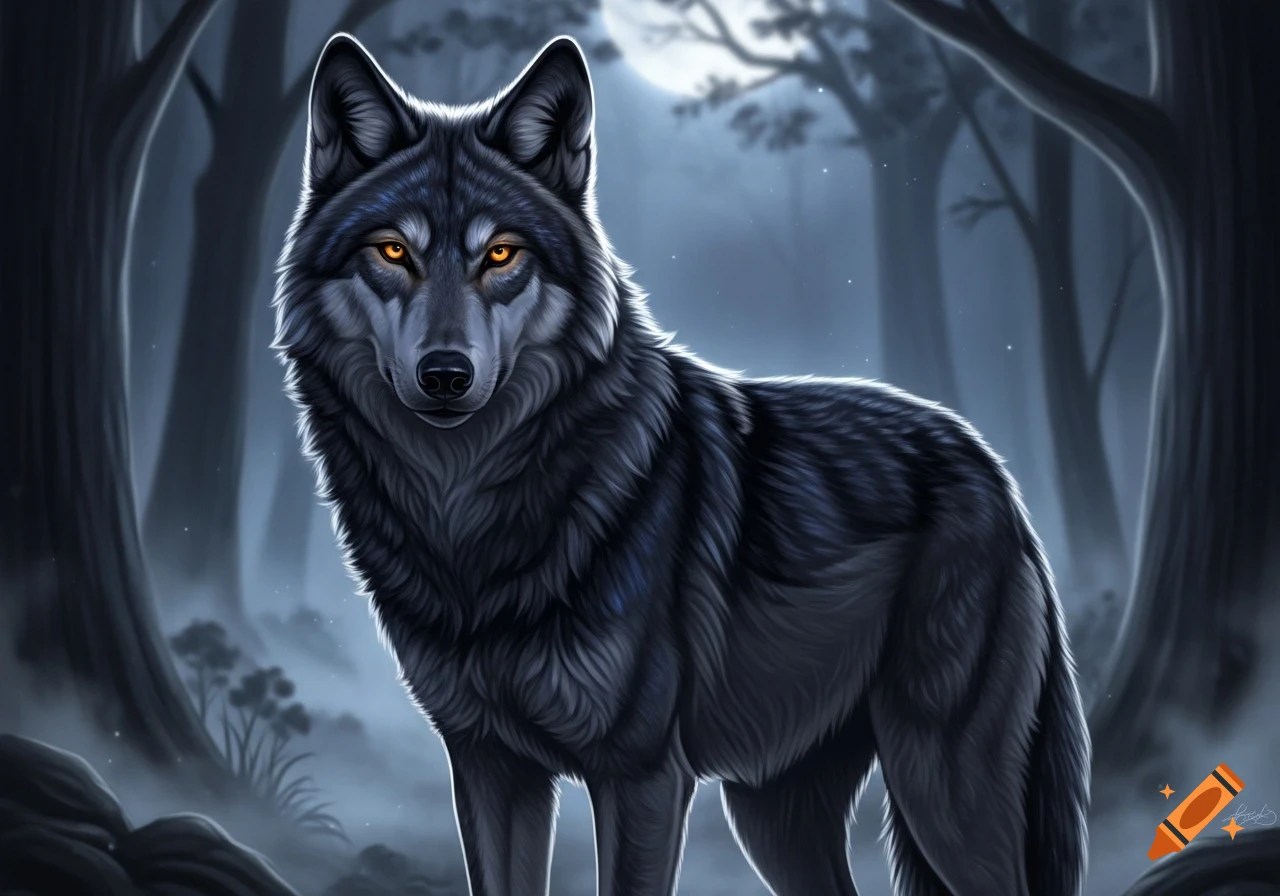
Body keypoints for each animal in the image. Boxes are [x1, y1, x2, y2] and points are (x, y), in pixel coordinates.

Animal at [275, 32, 1090, 896]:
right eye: (393, 250)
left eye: (501, 254)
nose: (444, 375)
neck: (467, 504)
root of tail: (991, 468)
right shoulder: (490, 766)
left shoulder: (640, 773)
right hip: (772, 816)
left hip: (943, 792)